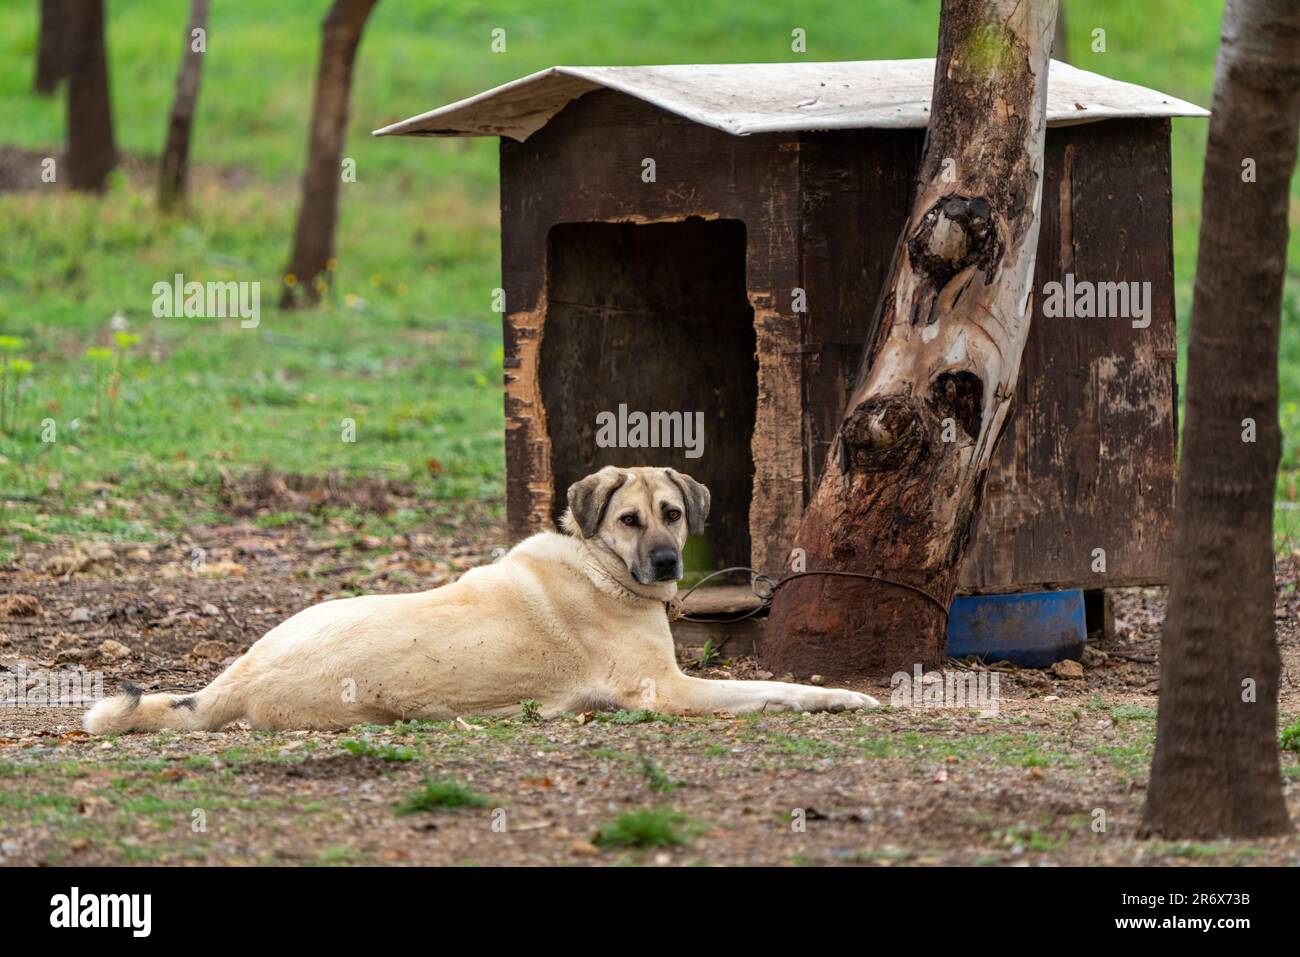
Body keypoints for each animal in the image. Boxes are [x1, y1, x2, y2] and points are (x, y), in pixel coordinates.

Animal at [86, 465, 878, 733]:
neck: (598, 564)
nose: (666, 561)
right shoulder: (668, 690)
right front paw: (846, 697)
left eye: (673, 513)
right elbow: (778, 688)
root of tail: (235, 681)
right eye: (629, 519)